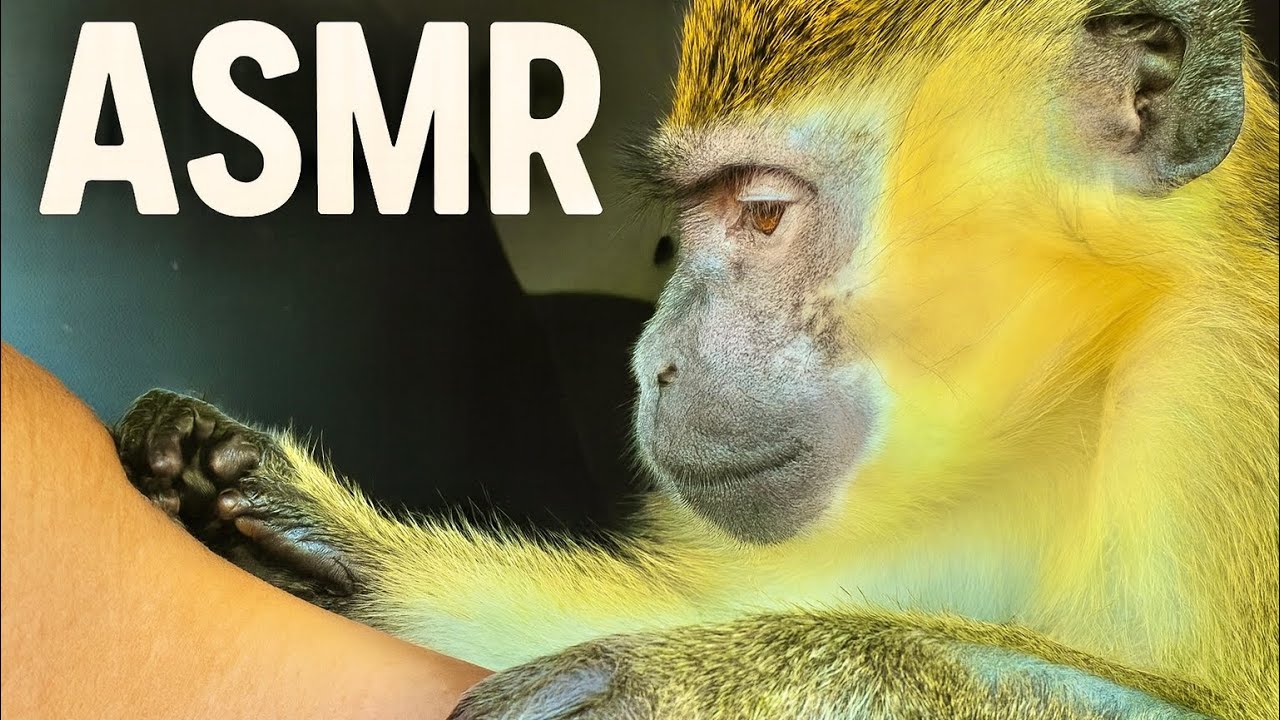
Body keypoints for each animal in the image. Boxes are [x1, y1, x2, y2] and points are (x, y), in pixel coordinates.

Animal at [111, 0, 1278, 717]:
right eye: (679, 231)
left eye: (761, 214)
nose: (652, 363)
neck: (1082, 375)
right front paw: (299, 527)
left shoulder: (1216, 392)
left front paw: (692, 679)